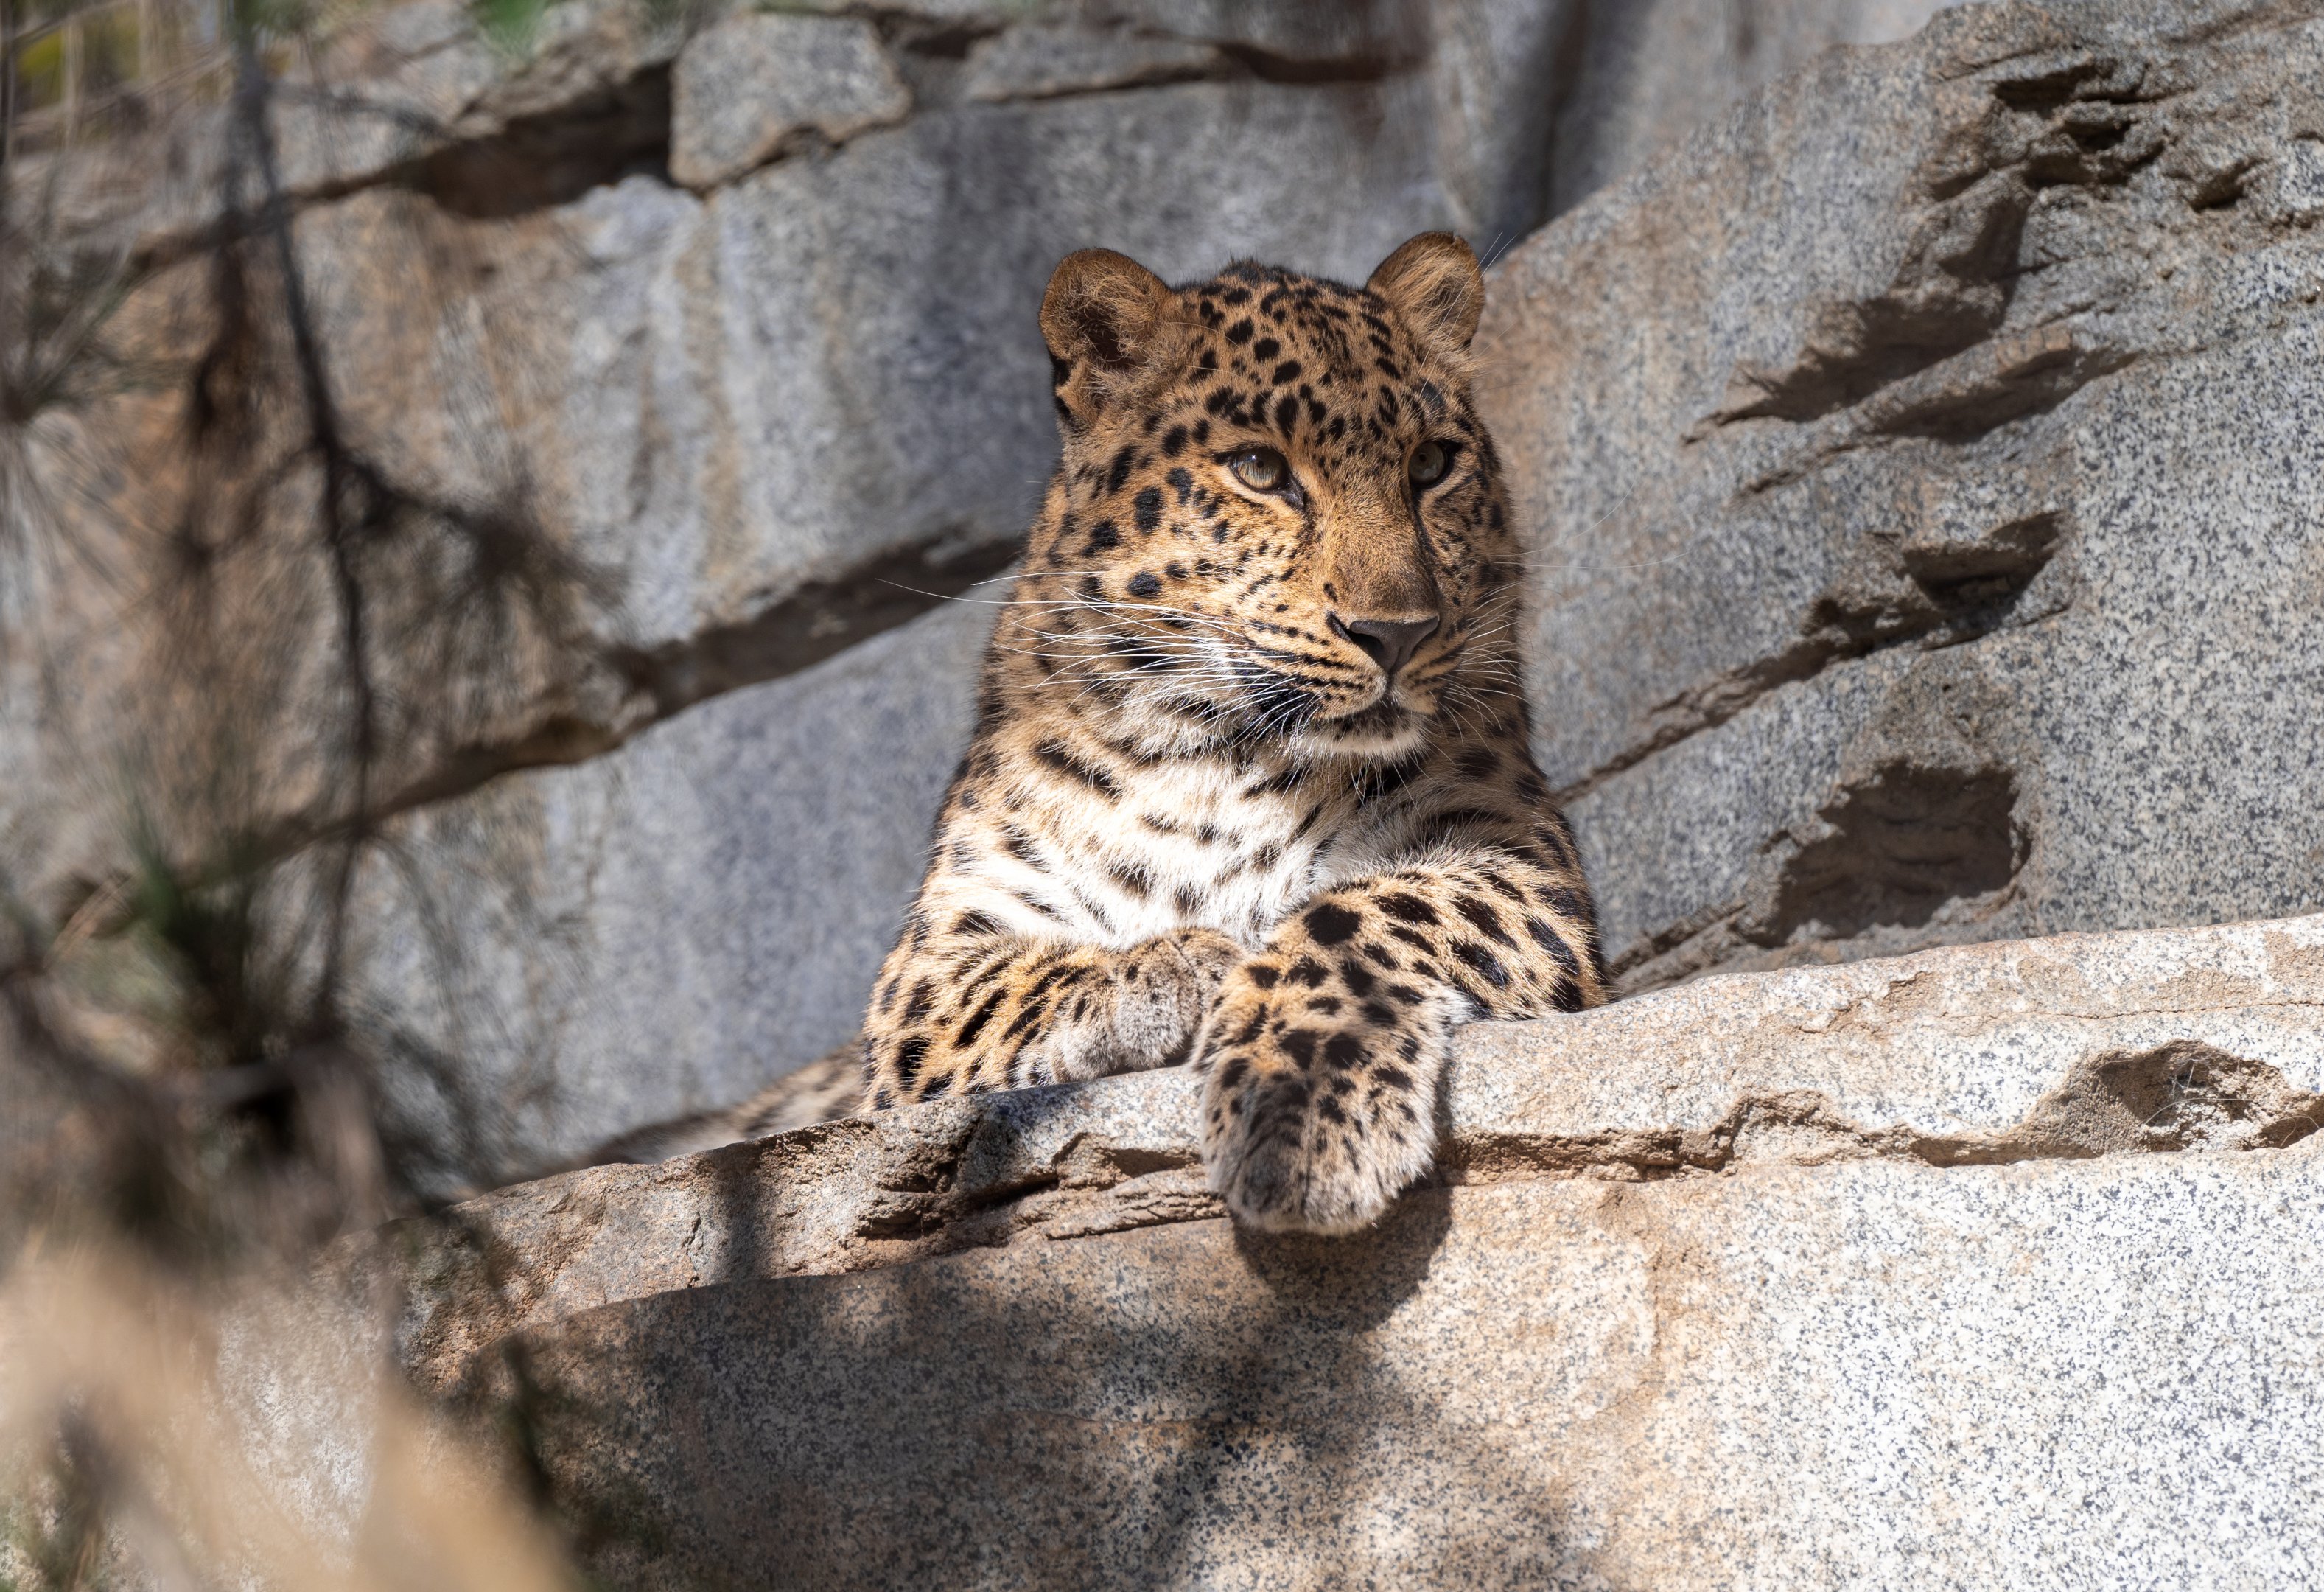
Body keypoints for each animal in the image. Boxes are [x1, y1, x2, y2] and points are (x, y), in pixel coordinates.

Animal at [845, 232, 1609, 1235]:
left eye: (1431, 464)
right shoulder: (930, 965)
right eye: (1258, 470)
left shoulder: (1522, 862)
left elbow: (1360, 911)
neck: (1222, 753)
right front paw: (1179, 966)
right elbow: (1012, 983)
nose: (1396, 632)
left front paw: (1299, 1120)